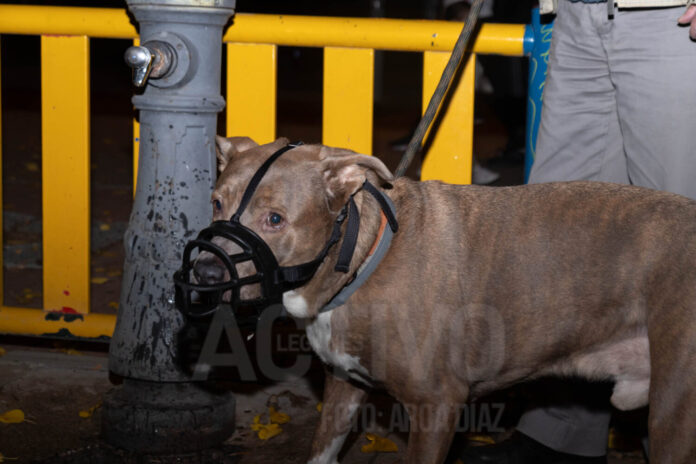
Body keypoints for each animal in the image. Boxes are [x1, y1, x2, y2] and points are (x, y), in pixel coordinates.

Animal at [198, 137, 692, 464]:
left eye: (275, 219)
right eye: (216, 202)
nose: (205, 272)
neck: (362, 258)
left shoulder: (436, 405)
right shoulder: (343, 386)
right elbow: (323, 450)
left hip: (673, 412)